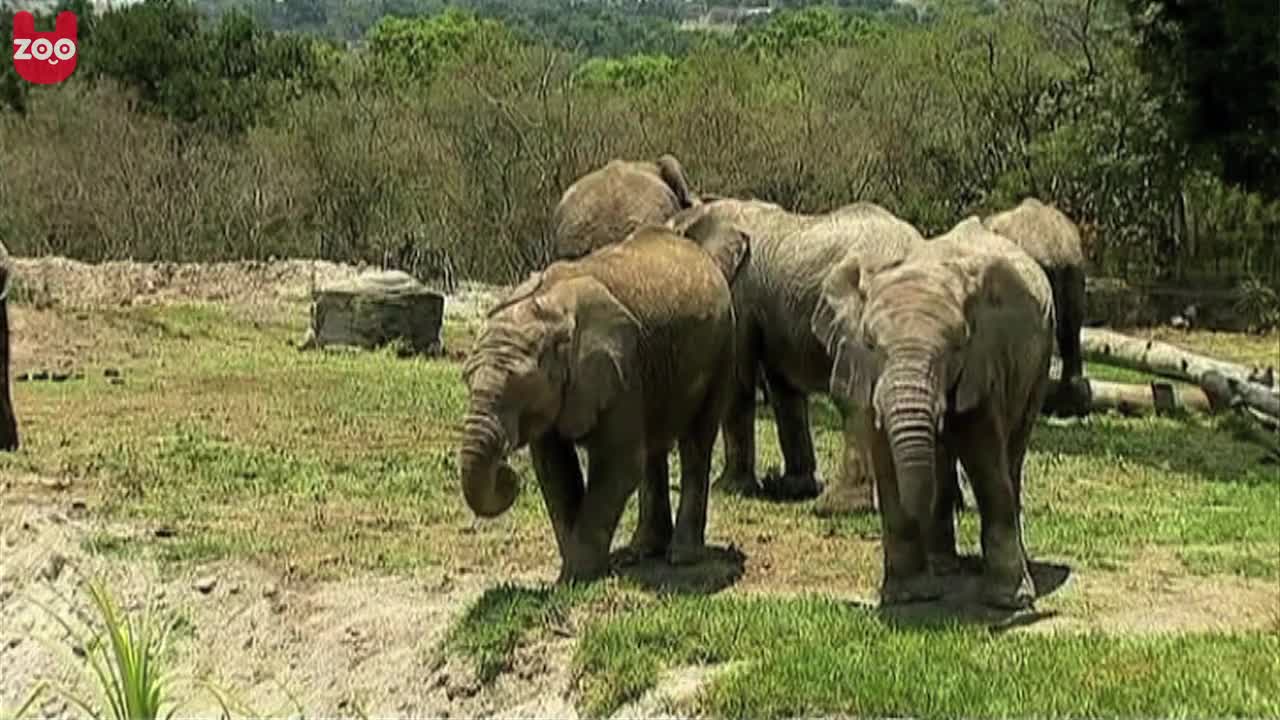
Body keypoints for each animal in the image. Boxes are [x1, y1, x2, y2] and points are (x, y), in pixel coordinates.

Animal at [458, 220, 747, 584]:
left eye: (522, 388)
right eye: (466, 380)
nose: (507, 474)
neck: (551, 310)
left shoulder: (621, 369)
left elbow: (618, 463)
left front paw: (577, 577)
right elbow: (554, 469)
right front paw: (572, 576)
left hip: (723, 348)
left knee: (695, 444)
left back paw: (681, 557)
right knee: (653, 448)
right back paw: (642, 550)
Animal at [665, 198, 926, 507]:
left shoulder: (739, 296)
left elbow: (738, 381)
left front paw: (727, 488)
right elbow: (783, 389)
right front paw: (795, 489)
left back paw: (838, 506)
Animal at [814, 213, 1054, 604]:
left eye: (957, 346)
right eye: (870, 344)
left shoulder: (982, 361)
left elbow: (986, 461)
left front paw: (1009, 600)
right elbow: (887, 461)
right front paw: (908, 595)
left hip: (1040, 364)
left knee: (1012, 453)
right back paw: (943, 566)